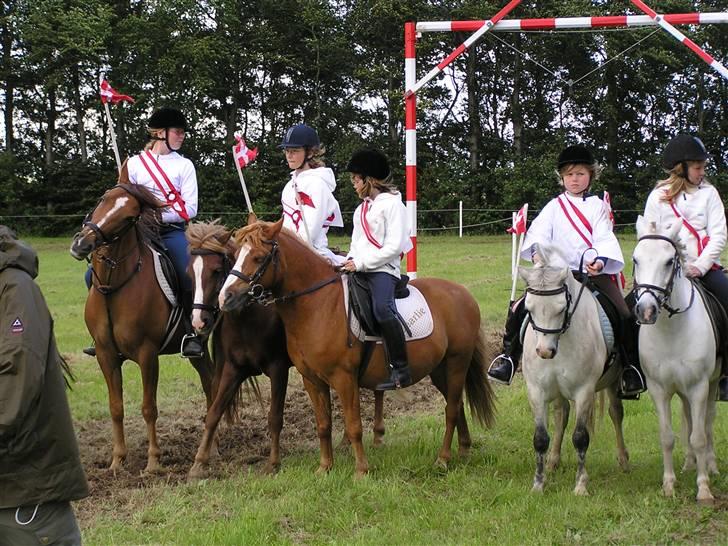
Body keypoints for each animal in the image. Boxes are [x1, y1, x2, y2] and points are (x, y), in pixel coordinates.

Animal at [67, 178, 216, 472]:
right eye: (103, 198)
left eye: (128, 217)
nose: (82, 243)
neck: (114, 288)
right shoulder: (105, 355)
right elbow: (116, 407)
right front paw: (117, 460)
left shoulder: (147, 355)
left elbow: (149, 408)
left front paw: (153, 462)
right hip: (199, 352)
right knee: (210, 382)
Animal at [216, 218, 498, 476]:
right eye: (235, 255)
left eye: (258, 257)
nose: (225, 297)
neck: (317, 305)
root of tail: (463, 293)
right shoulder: (312, 380)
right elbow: (323, 425)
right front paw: (325, 467)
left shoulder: (344, 378)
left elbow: (353, 426)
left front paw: (361, 470)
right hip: (439, 369)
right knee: (456, 405)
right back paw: (463, 450)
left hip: (457, 363)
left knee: (451, 409)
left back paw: (443, 458)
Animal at [516, 241, 632, 492]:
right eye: (529, 308)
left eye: (561, 308)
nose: (544, 352)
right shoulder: (536, 391)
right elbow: (540, 438)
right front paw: (538, 483)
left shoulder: (584, 391)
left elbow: (580, 437)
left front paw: (581, 484)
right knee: (561, 414)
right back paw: (553, 461)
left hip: (612, 381)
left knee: (615, 413)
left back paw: (623, 460)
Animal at [636, 215, 720, 504]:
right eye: (636, 259)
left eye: (668, 261)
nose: (646, 310)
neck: (671, 330)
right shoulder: (659, 389)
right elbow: (667, 436)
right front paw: (669, 484)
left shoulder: (699, 387)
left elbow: (699, 436)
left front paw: (704, 489)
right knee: (689, 418)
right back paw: (690, 464)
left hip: (712, 384)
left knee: (706, 423)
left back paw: (711, 466)